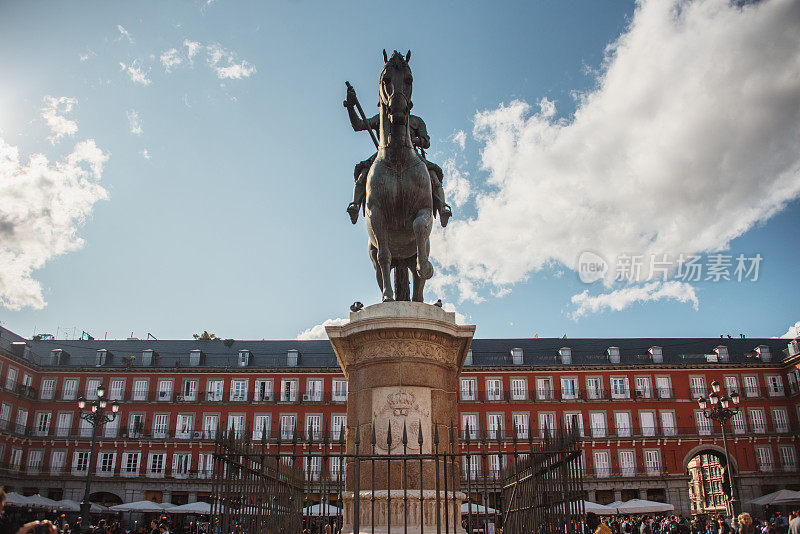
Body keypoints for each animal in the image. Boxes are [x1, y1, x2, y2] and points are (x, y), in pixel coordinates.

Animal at [368, 51, 434, 304]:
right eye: (385, 79)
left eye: (409, 79)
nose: (397, 112)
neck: (397, 159)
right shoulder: (376, 214)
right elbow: (385, 255)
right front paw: (388, 296)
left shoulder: (425, 208)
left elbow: (419, 226)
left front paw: (426, 267)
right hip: (375, 254)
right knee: (381, 266)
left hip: (409, 257)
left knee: (417, 281)